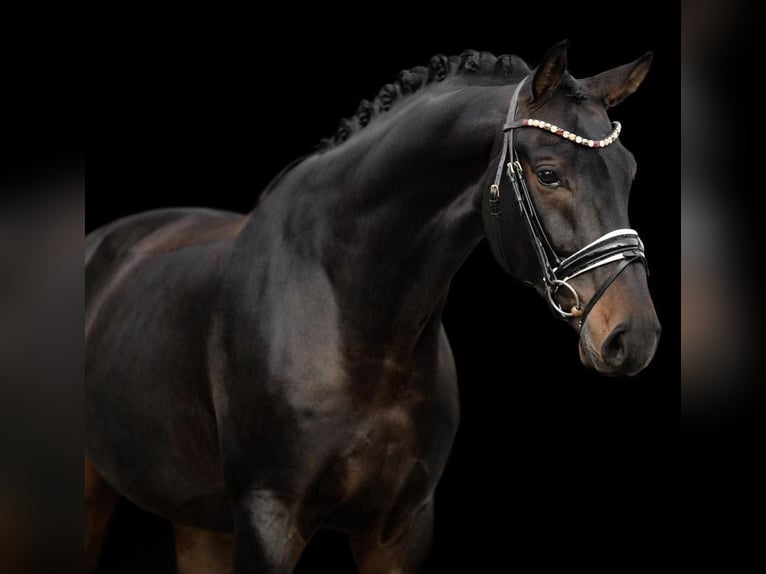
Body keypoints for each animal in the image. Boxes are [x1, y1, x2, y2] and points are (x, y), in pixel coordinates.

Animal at [85, 41, 660, 573]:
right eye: (548, 174)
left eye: (630, 172)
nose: (635, 335)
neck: (352, 316)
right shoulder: (267, 520)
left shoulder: (400, 528)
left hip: (198, 521)